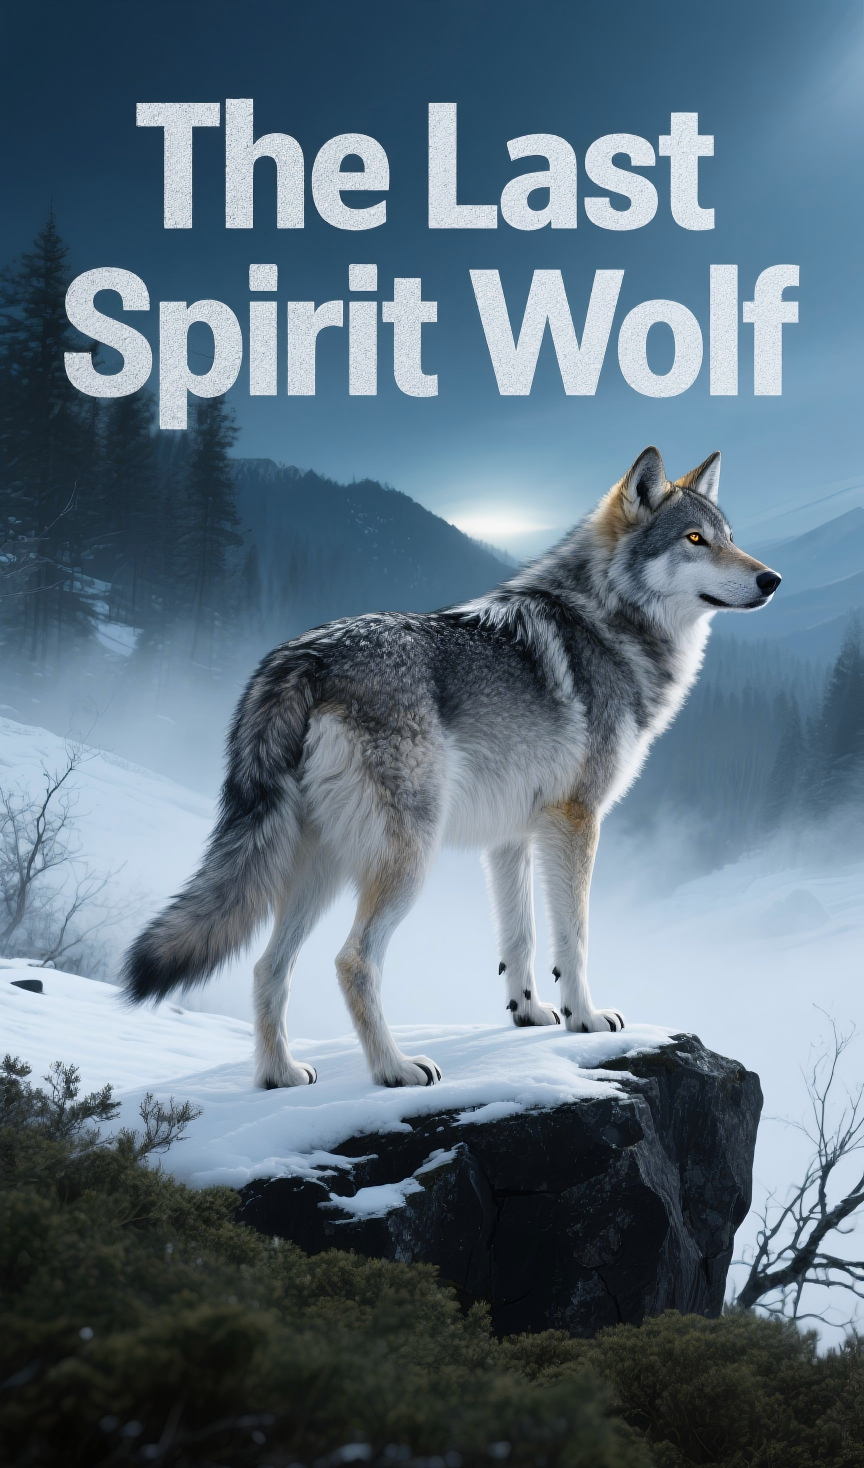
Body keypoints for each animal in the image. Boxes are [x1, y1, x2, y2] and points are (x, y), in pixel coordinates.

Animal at [123, 447, 781, 1089]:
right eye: (694, 539)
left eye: (728, 537)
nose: (771, 579)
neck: (607, 621)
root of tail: (304, 656)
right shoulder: (577, 820)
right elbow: (574, 936)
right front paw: (585, 1018)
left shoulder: (513, 836)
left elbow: (520, 935)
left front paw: (529, 1013)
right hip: (407, 854)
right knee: (352, 960)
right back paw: (394, 1069)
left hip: (321, 864)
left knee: (267, 966)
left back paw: (278, 1075)